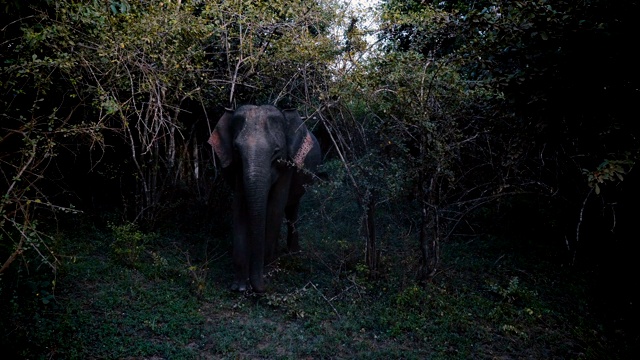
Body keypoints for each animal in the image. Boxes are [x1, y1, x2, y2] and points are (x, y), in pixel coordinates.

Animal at [209, 104, 322, 292]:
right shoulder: (238, 170)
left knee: (292, 208)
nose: (263, 287)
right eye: (236, 150)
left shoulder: (288, 166)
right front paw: (239, 287)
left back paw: (292, 253)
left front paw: (268, 272)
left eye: (276, 151)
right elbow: (239, 210)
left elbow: (275, 208)